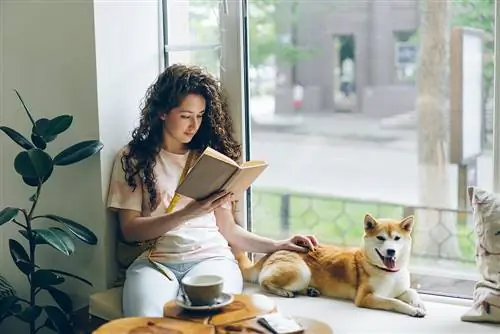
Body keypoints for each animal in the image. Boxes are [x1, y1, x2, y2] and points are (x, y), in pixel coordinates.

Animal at [234, 213, 426, 318]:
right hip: (301, 272)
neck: (388, 272)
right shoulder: (366, 297)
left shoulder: (400, 289)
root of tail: (273, 252)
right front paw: (412, 310)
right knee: (264, 282)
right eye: (381, 238)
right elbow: (394, 302)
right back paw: (283, 291)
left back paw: (310, 291)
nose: (391, 251)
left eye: (397, 238)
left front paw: (418, 304)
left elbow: (411, 292)